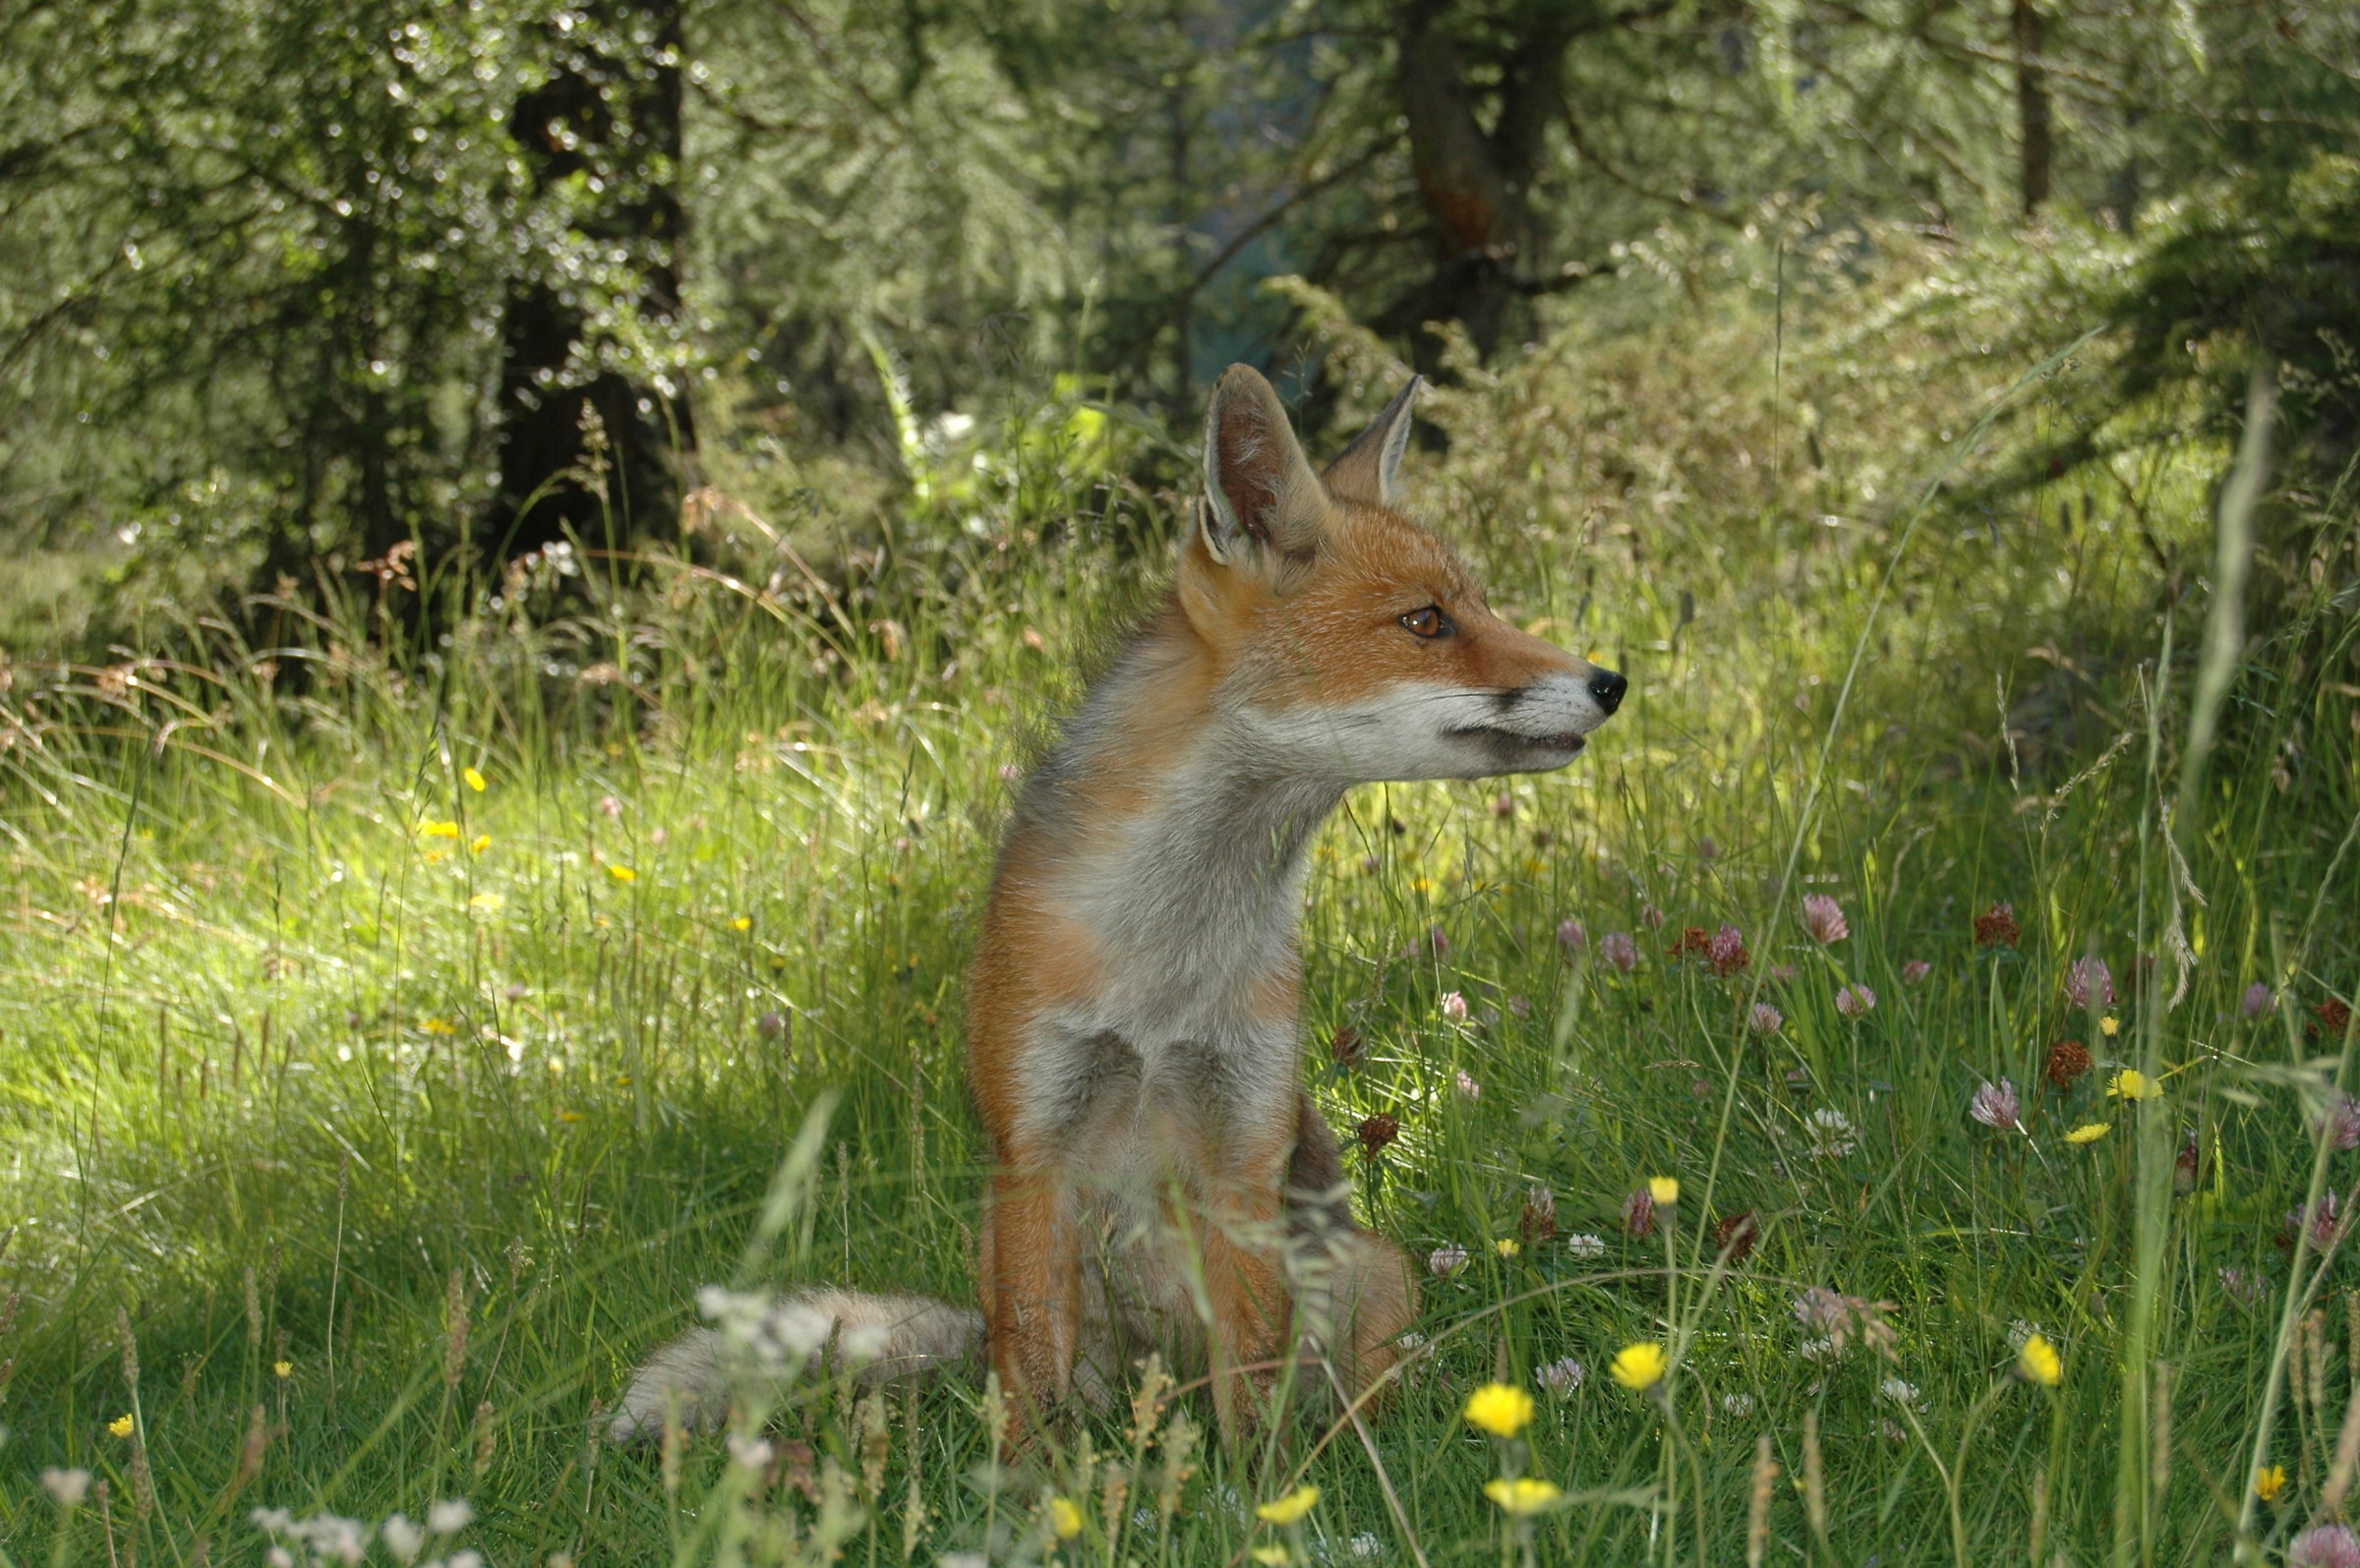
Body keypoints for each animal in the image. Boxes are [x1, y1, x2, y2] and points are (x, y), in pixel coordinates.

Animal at [609, 364, 1625, 1446]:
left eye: (1479, 604)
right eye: (1428, 621)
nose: (1612, 680)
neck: (1164, 970)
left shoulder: (1244, 1149)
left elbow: (1248, 1385)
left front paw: (1258, 1483)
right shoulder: (1032, 1149)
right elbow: (1031, 1386)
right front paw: (1028, 1487)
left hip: (1373, 1271)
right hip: (996, 1243)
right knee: (1019, 1356)